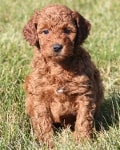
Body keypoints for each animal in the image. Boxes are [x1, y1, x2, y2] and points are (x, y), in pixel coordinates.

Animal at [23, 4, 103, 147]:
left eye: (67, 30)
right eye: (45, 31)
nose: (57, 47)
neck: (58, 66)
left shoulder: (84, 94)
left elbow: (83, 120)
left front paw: (81, 142)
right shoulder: (39, 95)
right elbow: (42, 122)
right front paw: (47, 143)